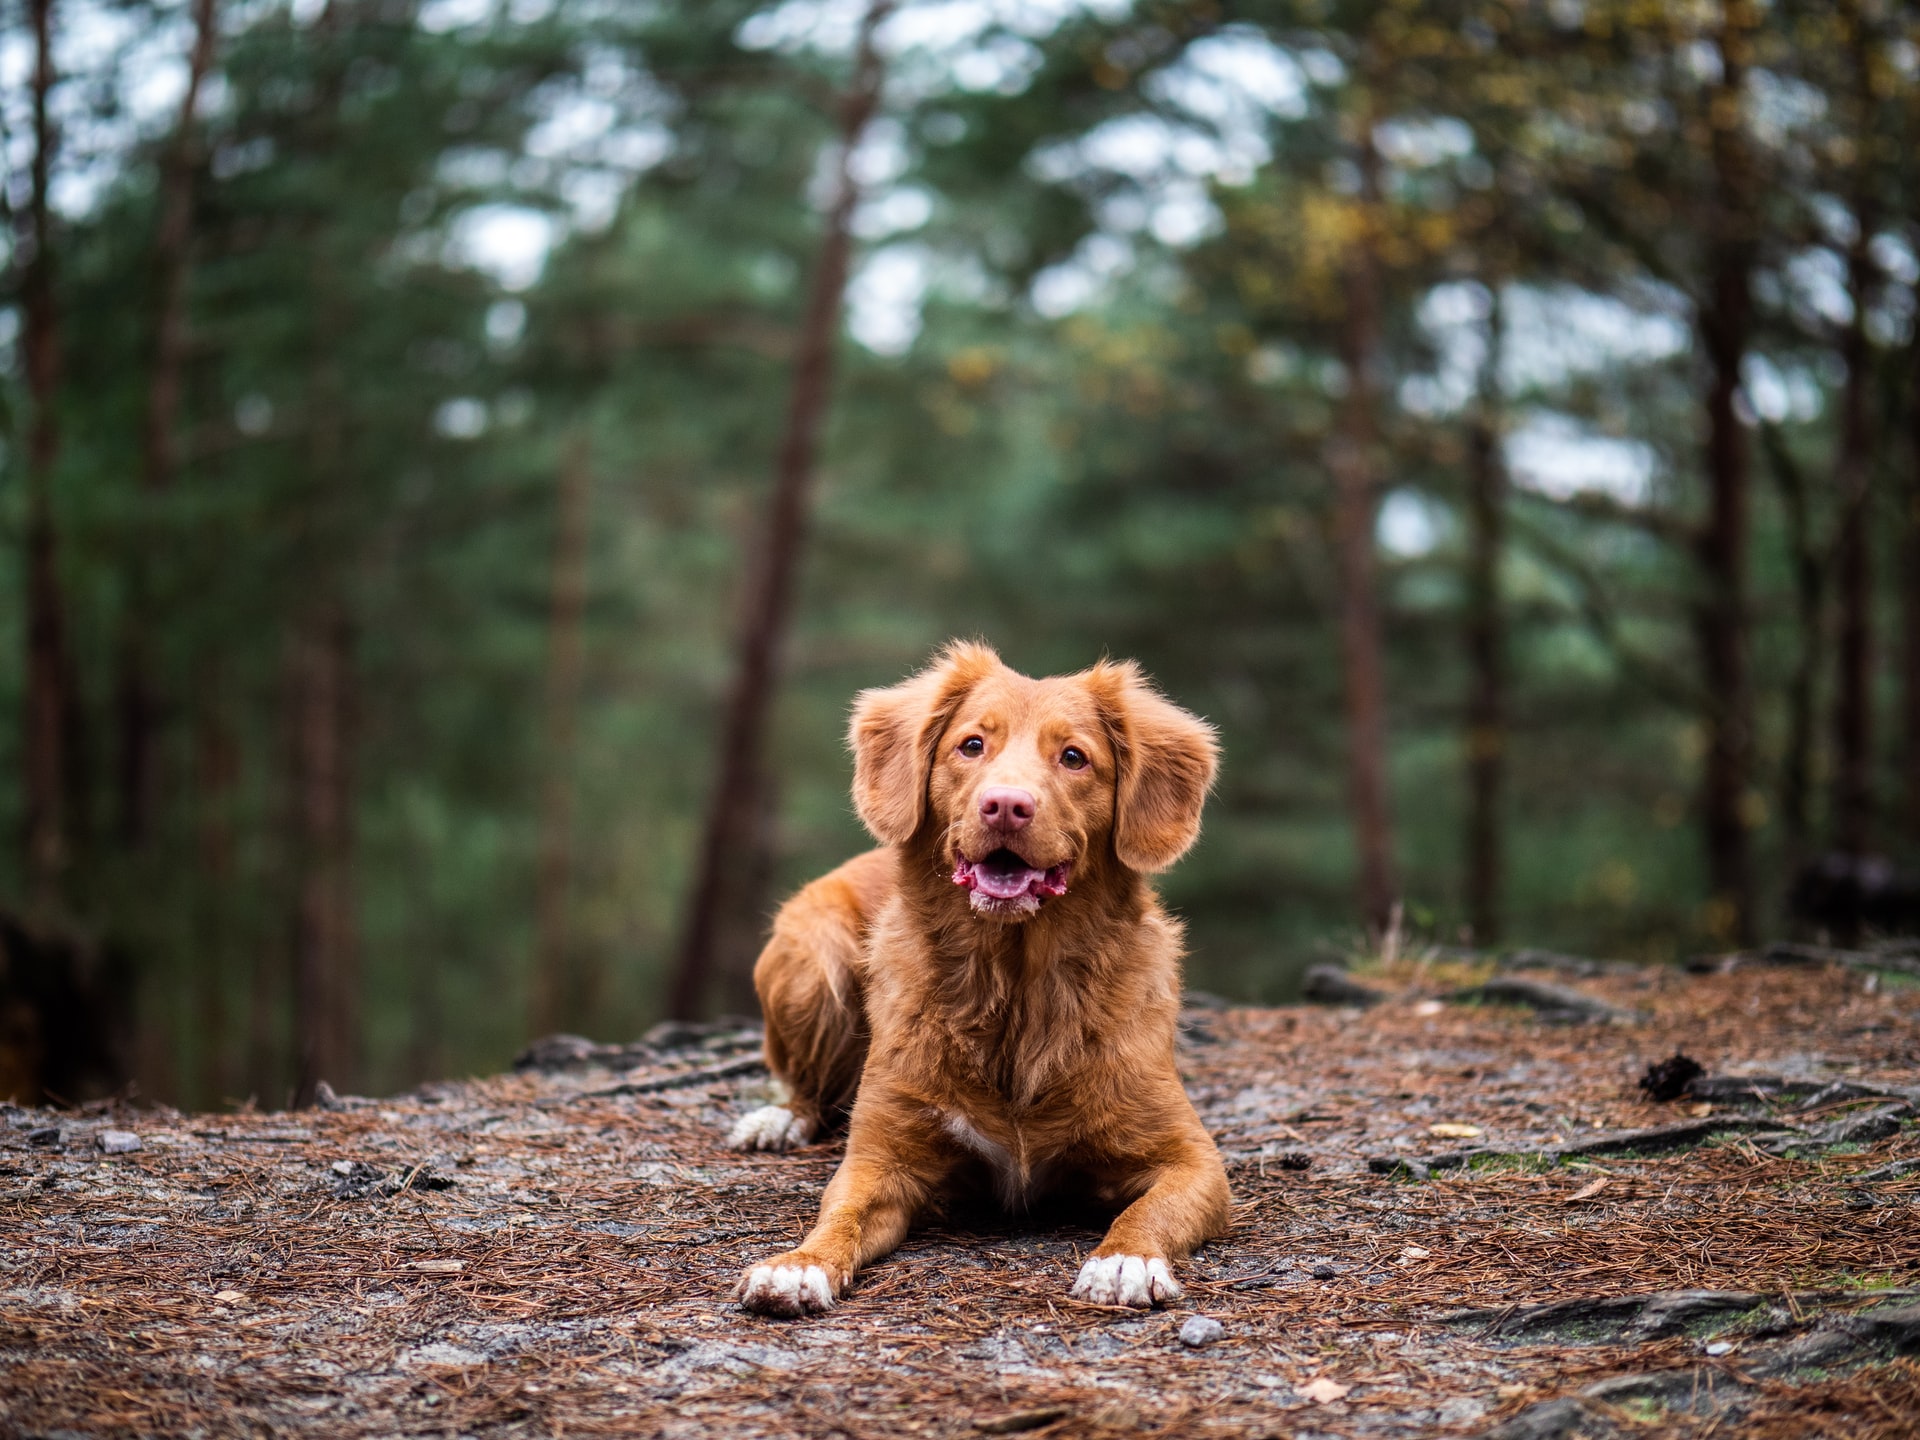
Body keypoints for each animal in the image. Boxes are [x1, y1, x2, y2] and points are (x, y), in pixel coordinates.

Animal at [725, 641, 1221, 1320]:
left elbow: (1150, 1210)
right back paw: (778, 1120)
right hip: (811, 958)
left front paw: (1124, 1261)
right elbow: (838, 1217)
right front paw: (797, 1265)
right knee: (804, 1088)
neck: (1014, 987)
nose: (1006, 804)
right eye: (972, 745)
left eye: (1074, 757)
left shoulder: (1193, 1158)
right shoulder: (880, 1158)